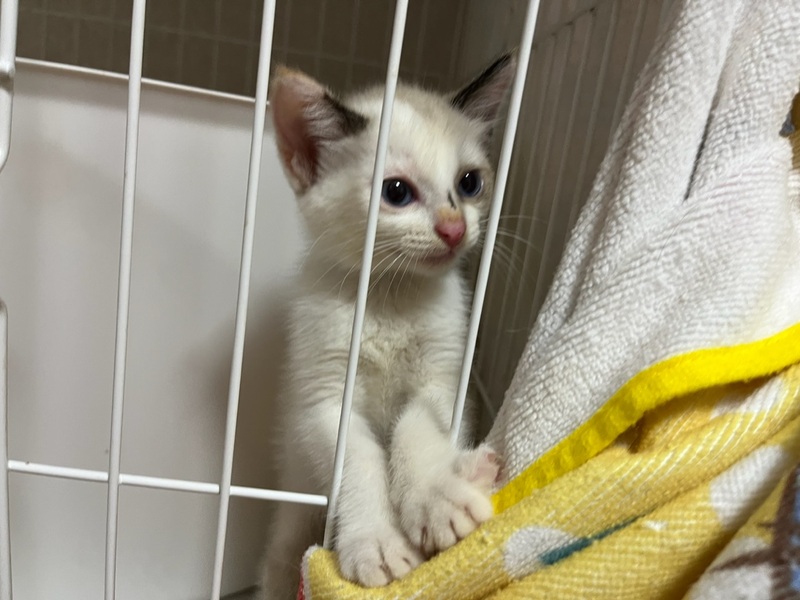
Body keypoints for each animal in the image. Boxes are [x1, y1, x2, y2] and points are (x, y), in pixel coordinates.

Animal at [259, 52, 516, 599]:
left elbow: (413, 425)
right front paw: (374, 542)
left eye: (470, 183)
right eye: (396, 191)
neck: (389, 299)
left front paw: (435, 500)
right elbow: (358, 456)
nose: (454, 228)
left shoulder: (446, 379)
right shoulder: (320, 400)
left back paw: (471, 471)